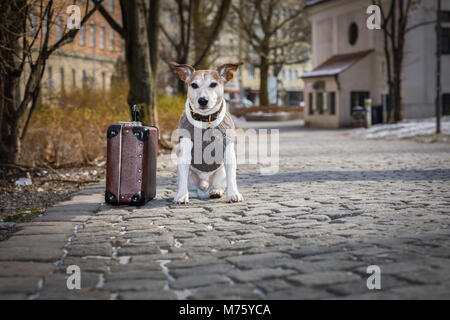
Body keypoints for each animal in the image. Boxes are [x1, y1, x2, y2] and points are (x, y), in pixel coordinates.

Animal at [171, 61, 244, 204]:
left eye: (213, 84)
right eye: (194, 85)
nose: (203, 100)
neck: (206, 119)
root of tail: (204, 188)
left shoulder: (228, 151)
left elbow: (232, 178)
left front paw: (234, 194)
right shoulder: (185, 153)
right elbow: (183, 180)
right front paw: (181, 196)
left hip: (221, 173)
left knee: (220, 185)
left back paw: (216, 191)